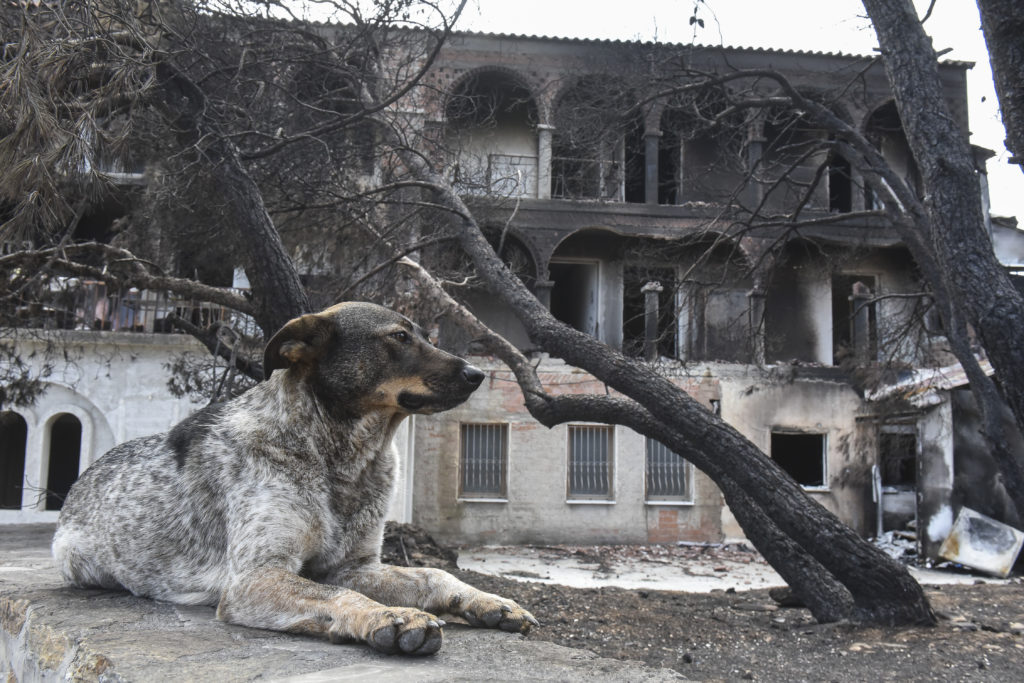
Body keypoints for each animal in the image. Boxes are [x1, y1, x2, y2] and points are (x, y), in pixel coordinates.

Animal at [51, 305, 536, 655]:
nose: (477, 374)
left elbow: (432, 575)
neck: (342, 459)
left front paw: (488, 601)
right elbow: (336, 596)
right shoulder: (256, 577)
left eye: (424, 336)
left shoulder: (354, 567)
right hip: (82, 561)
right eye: (398, 337)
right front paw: (391, 617)